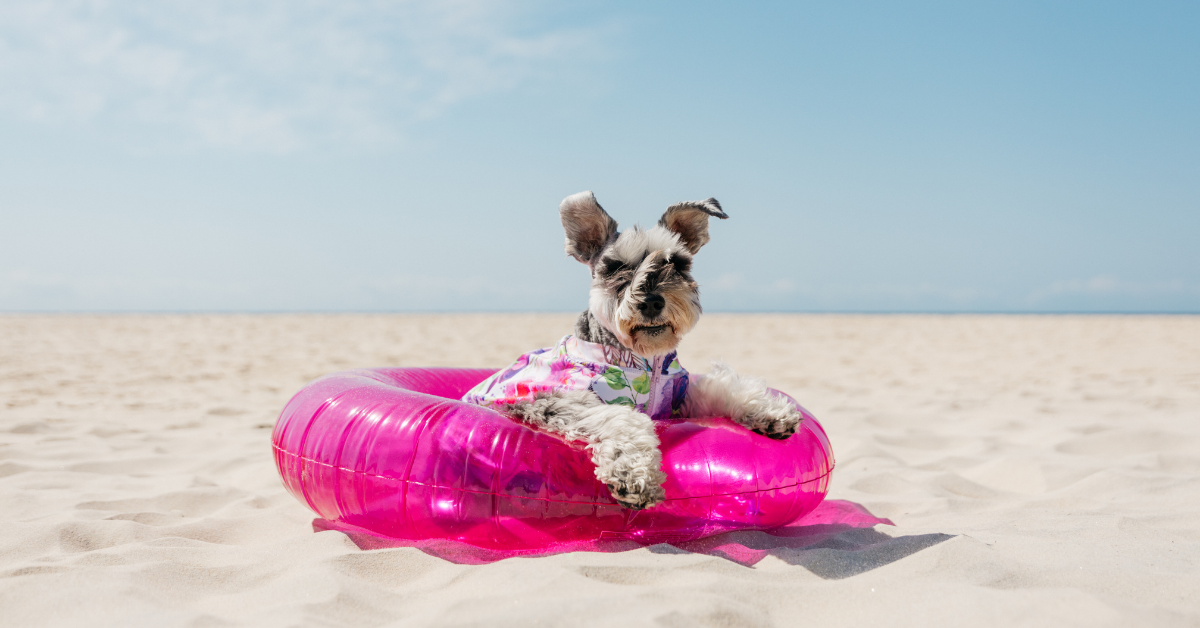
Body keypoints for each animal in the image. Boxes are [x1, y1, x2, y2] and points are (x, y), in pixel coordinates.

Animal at [463, 192, 801, 511]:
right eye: (615, 267)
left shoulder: (678, 397)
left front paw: (772, 411)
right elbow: (622, 418)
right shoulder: (551, 400)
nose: (650, 302)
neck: (644, 363)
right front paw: (634, 475)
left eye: (676, 262)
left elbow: (719, 386)